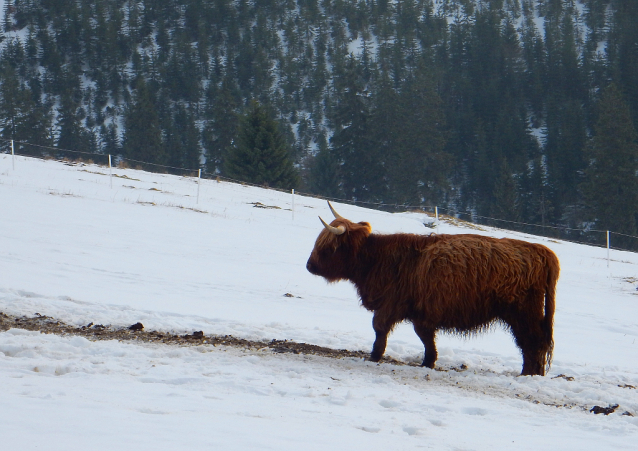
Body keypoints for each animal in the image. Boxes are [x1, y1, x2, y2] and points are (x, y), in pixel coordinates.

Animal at [308, 203, 564, 376]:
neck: (378, 259)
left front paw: (374, 356)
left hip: (522, 312)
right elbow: (426, 337)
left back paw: (530, 374)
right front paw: (428, 362)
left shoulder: (392, 304)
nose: (309, 265)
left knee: (533, 341)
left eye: (329, 248)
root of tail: (541, 251)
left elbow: (380, 328)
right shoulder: (422, 312)